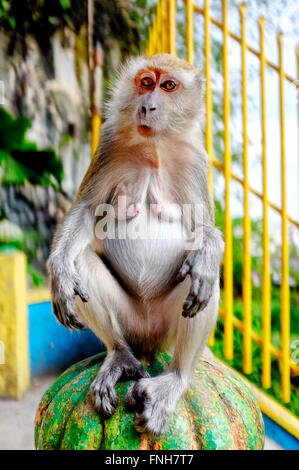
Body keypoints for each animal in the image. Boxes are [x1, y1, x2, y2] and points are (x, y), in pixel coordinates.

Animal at [48, 54, 224, 436]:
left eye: (168, 86)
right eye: (146, 82)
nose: (147, 106)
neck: (154, 145)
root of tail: (146, 341)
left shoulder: (196, 158)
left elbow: (204, 230)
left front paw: (207, 249)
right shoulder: (109, 143)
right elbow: (86, 211)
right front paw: (59, 272)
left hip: (165, 328)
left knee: (202, 279)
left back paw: (174, 380)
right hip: (130, 322)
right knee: (82, 262)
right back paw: (119, 356)